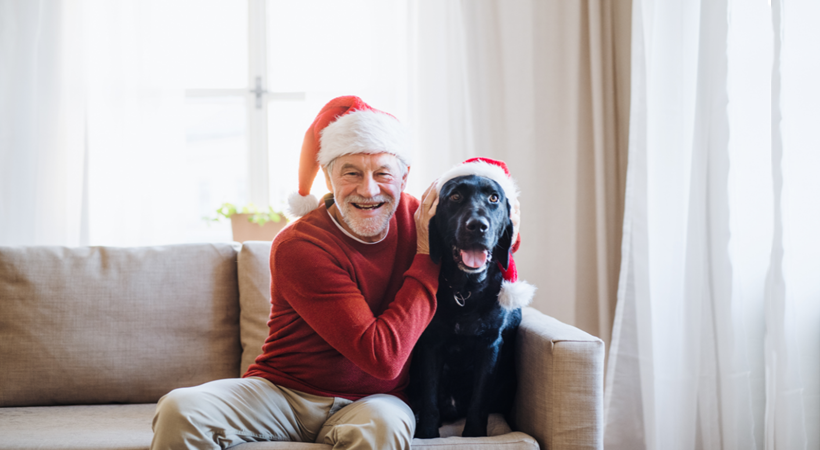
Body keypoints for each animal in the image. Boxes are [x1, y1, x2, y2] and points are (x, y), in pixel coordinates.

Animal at [408, 174, 524, 438]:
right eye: (455, 196)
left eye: (494, 198)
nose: (478, 226)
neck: (465, 292)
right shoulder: (431, 343)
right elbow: (430, 398)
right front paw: (427, 433)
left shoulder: (490, 345)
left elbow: (479, 400)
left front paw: (474, 434)